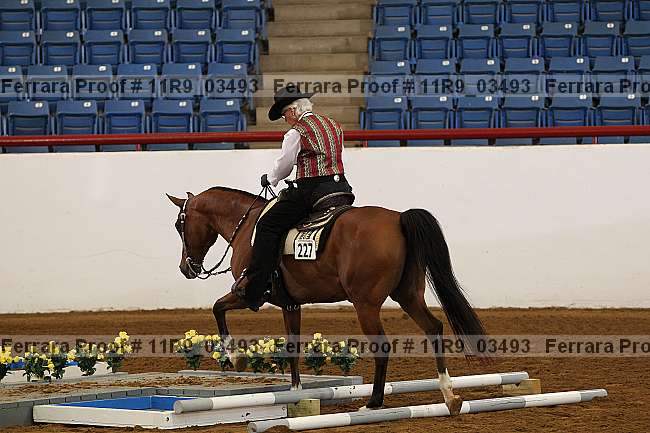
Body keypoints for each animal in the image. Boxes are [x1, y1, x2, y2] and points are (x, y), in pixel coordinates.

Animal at [167, 186, 488, 414]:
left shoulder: (247, 293)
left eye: (179, 225)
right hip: (408, 296)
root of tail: (397, 218)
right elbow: (292, 348)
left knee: (383, 346)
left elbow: (217, 308)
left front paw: (236, 358)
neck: (247, 226)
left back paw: (374, 402)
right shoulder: (290, 304)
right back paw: (450, 396)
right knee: (434, 328)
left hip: (366, 305)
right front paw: (297, 393)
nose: (185, 268)